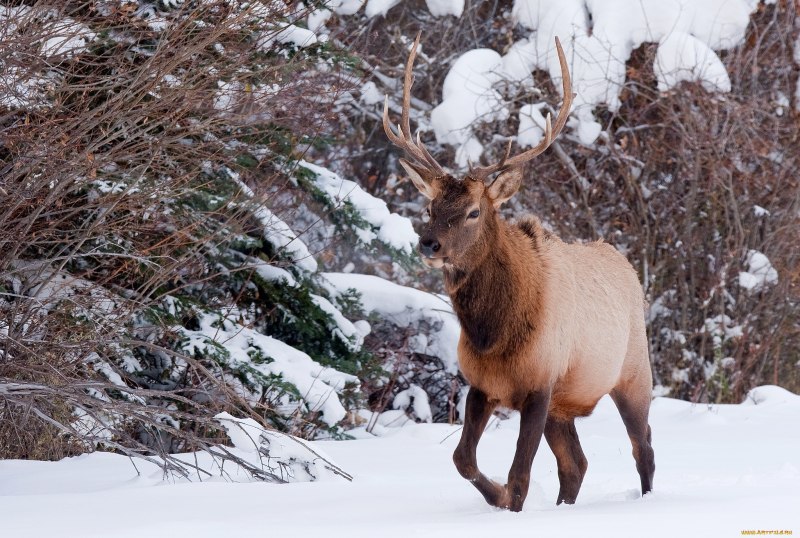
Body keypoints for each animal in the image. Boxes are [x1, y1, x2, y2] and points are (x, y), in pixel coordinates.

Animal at [381, 35, 655, 512]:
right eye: (430, 207)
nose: (429, 244)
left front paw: (508, 498)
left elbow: (520, 475)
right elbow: (462, 459)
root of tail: (626, 266)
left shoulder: (540, 384)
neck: (493, 335)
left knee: (644, 448)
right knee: (576, 464)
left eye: (473, 211)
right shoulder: (481, 385)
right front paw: (495, 496)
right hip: (565, 406)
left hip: (634, 374)